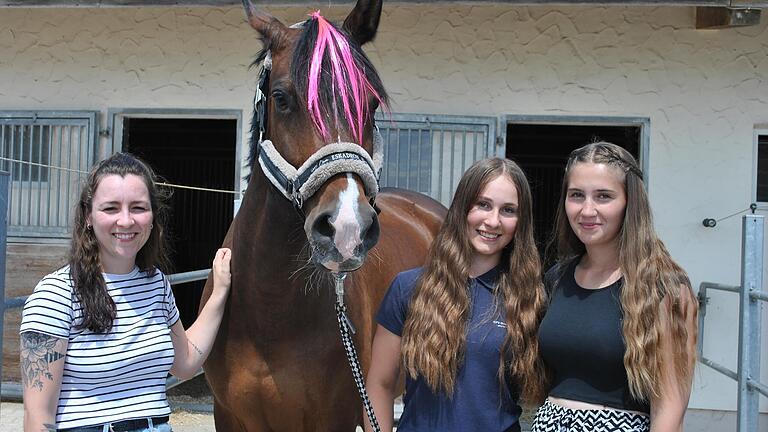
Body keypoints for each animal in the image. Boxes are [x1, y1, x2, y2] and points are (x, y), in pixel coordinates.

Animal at [200, 1, 444, 430]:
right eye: (281, 97)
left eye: (370, 103)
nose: (347, 229)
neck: (270, 313)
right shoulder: (228, 415)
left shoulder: (335, 417)